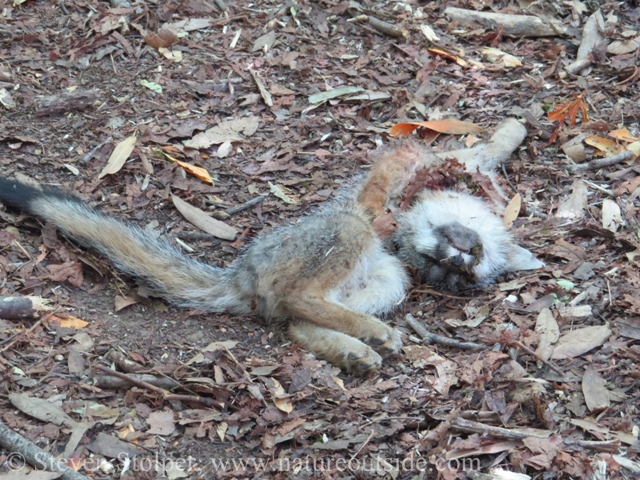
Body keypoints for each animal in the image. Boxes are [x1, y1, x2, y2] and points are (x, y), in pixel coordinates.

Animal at [0, 119, 540, 376]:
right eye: (444, 260)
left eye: (459, 274)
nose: (451, 259)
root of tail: (240, 270)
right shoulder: (400, 168)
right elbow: (415, 165)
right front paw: (513, 130)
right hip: (346, 234)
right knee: (299, 298)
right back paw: (364, 336)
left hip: (386, 276)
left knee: (295, 317)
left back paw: (354, 348)